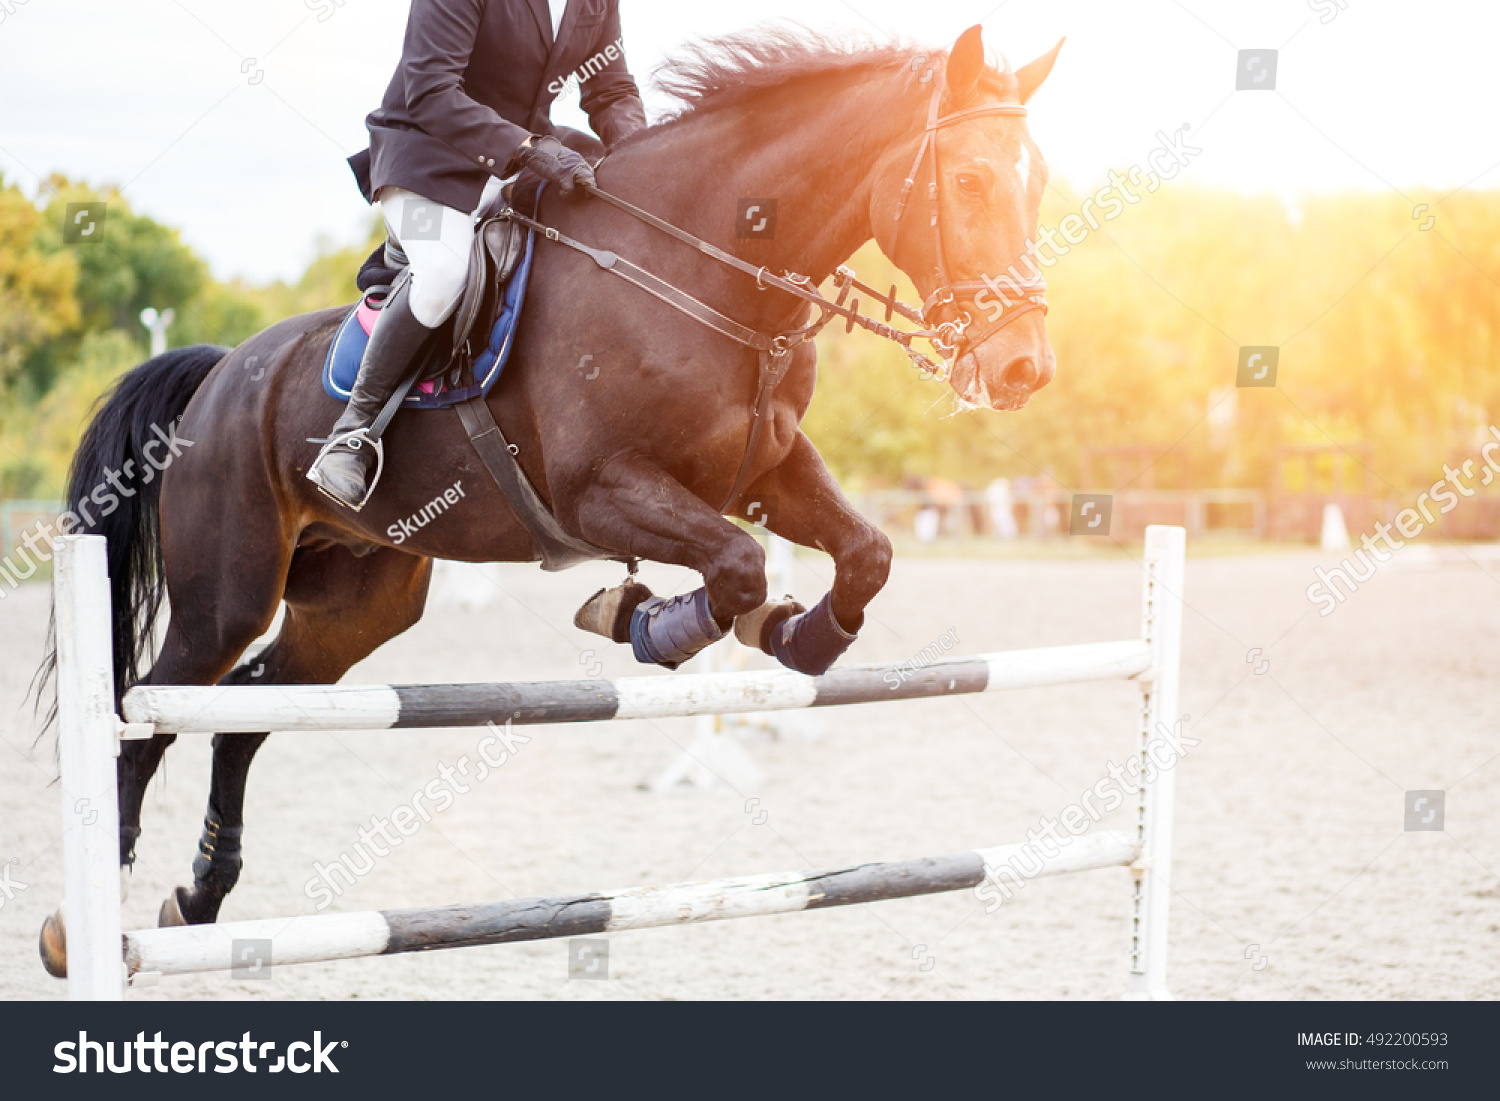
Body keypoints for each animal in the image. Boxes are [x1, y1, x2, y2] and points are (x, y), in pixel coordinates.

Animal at [38, 23, 1068, 972]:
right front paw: (651, 621)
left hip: (355, 603)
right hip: (228, 593)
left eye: (1036, 185)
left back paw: (199, 895)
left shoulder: (765, 474)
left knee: (248, 713)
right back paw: (79, 922)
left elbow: (865, 553)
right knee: (148, 717)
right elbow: (734, 565)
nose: (1024, 368)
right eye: (970, 183)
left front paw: (798, 636)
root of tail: (220, 374)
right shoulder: (599, 493)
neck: (709, 267)